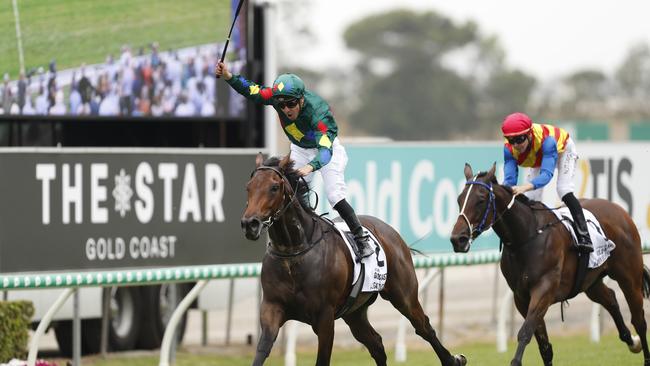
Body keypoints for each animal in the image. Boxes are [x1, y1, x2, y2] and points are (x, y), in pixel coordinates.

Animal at [240, 153, 464, 364]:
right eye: (248, 187)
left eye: (274, 187)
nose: (250, 224)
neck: (294, 251)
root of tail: (390, 231)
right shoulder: (271, 308)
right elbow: (262, 350)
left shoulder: (325, 317)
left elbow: (322, 359)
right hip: (354, 312)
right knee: (376, 343)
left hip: (404, 296)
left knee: (424, 327)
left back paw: (454, 359)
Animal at [448, 164, 648, 366]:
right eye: (459, 199)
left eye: (480, 200)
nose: (457, 239)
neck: (525, 236)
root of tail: (620, 210)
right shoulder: (521, 297)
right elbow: (544, 346)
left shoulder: (544, 290)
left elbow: (525, 333)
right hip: (590, 282)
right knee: (611, 298)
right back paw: (632, 341)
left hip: (629, 276)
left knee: (639, 320)